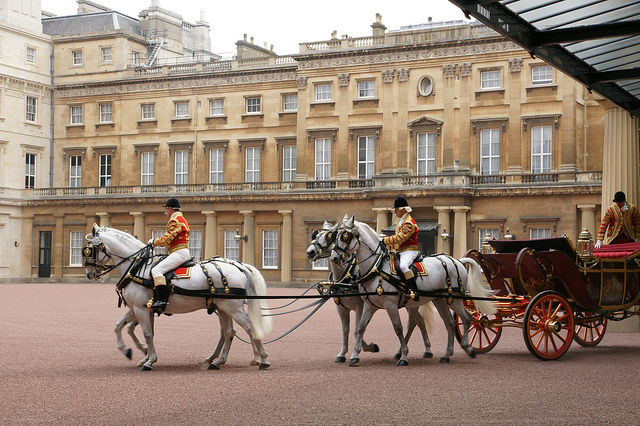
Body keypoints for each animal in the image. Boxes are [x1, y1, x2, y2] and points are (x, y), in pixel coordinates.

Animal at [84, 225, 272, 372]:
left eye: (89, 249)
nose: (89, 274)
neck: (138, 268)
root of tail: (238, 266)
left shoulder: (140, 309)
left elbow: (147, 334)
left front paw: (149, 360)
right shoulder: (139, 309)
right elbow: (121, 327)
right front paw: (131, 351)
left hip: (232, 308)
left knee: (249, 327)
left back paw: (262, 359)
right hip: (223, 308)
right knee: (228, 332)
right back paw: (217, 361)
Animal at [306, 220, 438, 362]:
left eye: (329, 236)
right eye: (315, 235)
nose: (310, 252)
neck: (346, 276)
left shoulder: (360, 306)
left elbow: (356, 330)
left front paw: (368, 348)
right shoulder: (342, 309)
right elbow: (345, 330)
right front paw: (342, 353)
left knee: (416, 322)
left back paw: (420, 350)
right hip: (409, 303)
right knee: (418, 321)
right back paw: (417, 350)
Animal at [330, 216, 496, 366]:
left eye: (345, 236)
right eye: (335, 236)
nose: (334, 258)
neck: (377, 267)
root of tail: (458, 261)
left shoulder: (390, 304)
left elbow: (398, 328)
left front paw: (404, 356)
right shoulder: (370, 305)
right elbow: (360, 328)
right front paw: (354, 355)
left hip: (454, 300)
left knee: (467, 318)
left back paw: (468, 348)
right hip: (440, 301)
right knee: (449, 323)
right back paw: (447, 354)